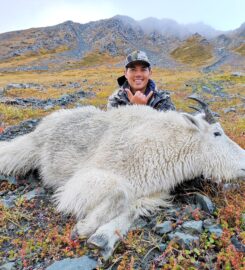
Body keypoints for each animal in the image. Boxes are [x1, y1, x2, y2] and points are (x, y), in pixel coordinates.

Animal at [0, 97, 244, 258]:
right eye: (217, 133)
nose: (243, 162)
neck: (164, 143)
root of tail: (48, 120)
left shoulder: (152, 193)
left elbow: (130, 209)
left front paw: (102, 238)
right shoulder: (89, 176)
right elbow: (120, 193)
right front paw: (84, 228)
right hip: (30, 148)